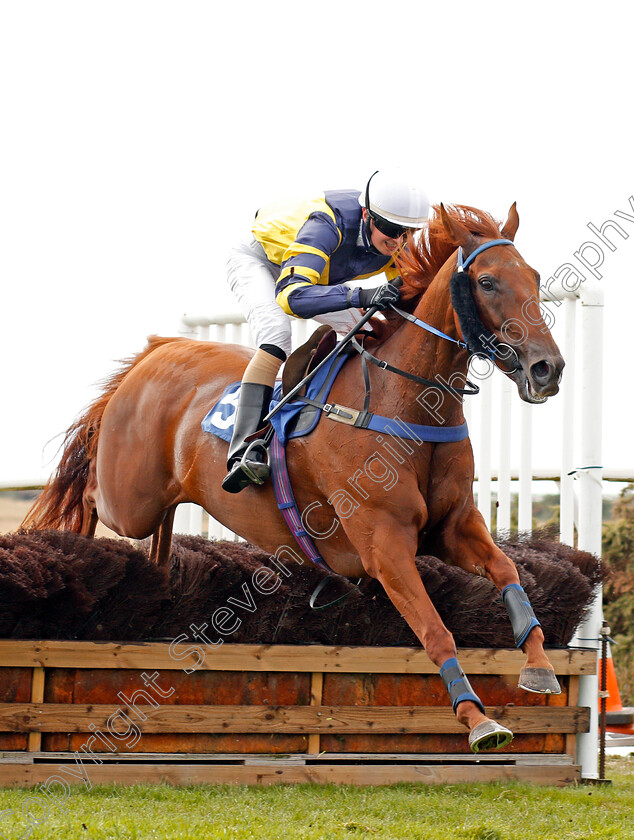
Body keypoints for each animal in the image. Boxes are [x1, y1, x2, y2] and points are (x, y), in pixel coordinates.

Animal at [23, 203, 564, 756]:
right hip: (128, 500)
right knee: (91, 493)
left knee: (159, 527)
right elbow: (436, 631)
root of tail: (157, 351)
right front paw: (479, 719)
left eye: (535, 278)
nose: (548, 368)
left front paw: (539, 669)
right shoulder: (384, 544)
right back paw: (70, 541)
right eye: (487, 281)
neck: (403, 401)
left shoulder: (453, 526)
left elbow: (509, 574)